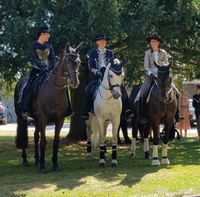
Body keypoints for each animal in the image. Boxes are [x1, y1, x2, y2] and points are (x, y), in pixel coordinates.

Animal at [14, 42, 82, 172]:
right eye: (67, 61)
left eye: (79, 61)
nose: (75, 82)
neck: (54, 92)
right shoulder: (43, 118)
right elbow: (44, 141)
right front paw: (42, 166)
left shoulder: (59, 120)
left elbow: (55, 141)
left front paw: (54, 164)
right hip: (23, 118)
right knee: (24, 136)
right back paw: (25, 160)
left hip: (36, 119)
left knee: (36, 136)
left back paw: (37, 160)